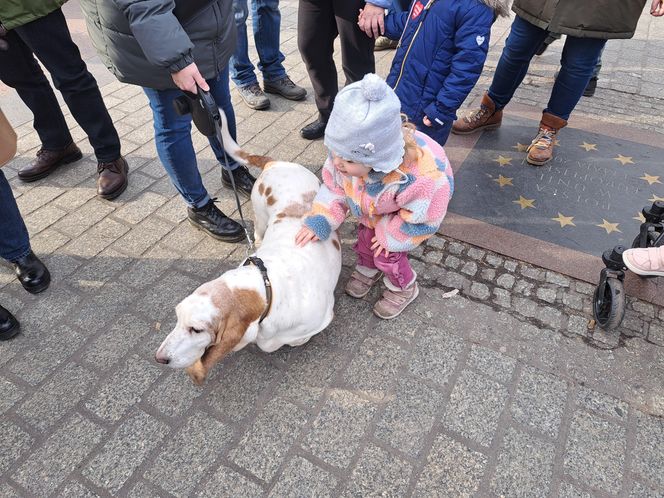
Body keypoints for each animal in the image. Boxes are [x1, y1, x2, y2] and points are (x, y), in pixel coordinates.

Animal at [156, 111, 342, 384]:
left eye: (196, 329)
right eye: (177, 317)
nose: (159, 358)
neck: (267, 288)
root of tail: (274, 163)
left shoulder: (323, 317)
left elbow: (296, 339)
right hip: (261, 216)